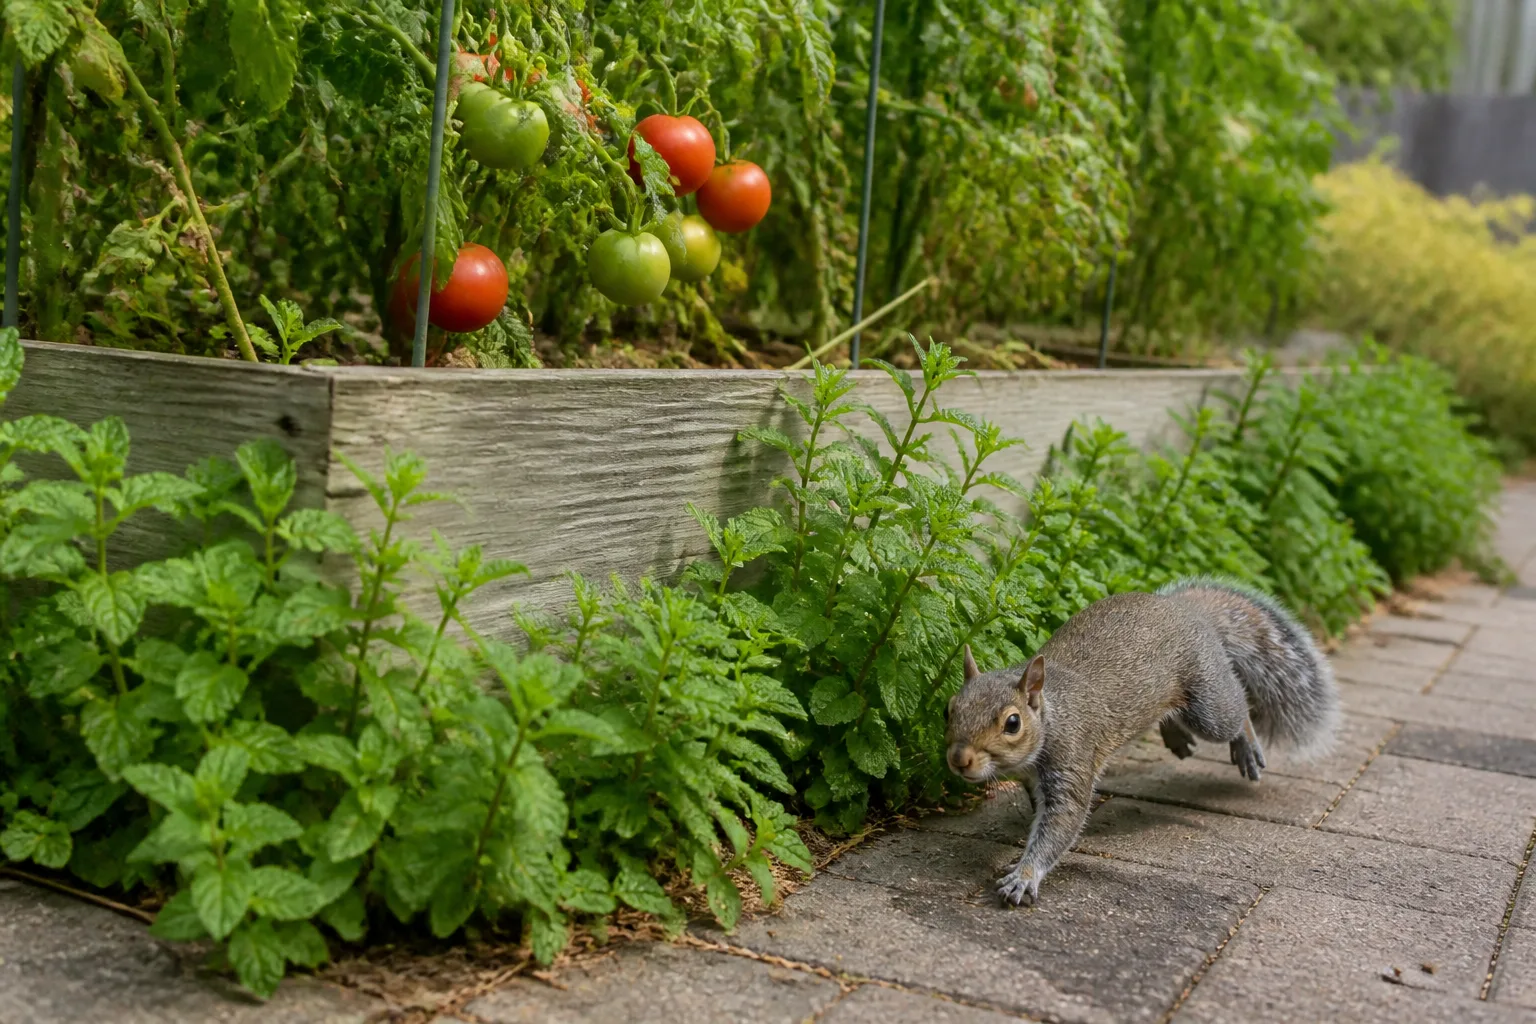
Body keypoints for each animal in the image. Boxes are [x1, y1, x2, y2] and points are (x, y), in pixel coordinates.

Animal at [944, 576, 1338, 907]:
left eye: (1013, 723)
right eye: (949, 709)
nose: (959, 759)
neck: (1053, 715)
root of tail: (1186, 609)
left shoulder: (1073, 755)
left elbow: (1062, 822)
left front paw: (1024, 876)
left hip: (1208, 704)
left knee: (1235, 710)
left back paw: (1245, 743)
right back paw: (1176, 737)